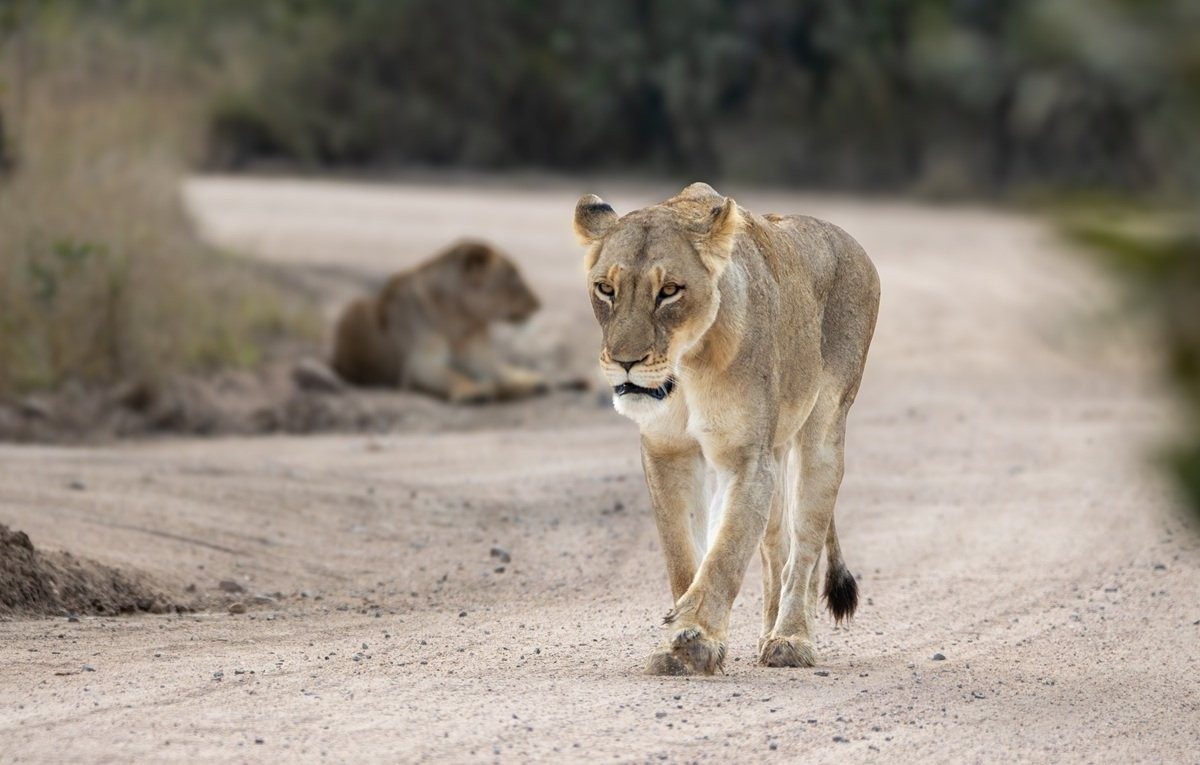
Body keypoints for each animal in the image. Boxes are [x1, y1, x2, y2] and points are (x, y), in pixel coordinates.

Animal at [331, 240, 546, 402]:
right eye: (514, 277)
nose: (539, 304)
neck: (460, 319)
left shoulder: (478, 353)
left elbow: (499, 370)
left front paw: (527, 381)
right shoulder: (419, 364)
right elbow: (450, 375)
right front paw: (472, 391)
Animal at [573, 183, 880, 675]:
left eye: (669, 291)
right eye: (606, 289)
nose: (625, 362)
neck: (686, 370)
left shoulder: (745, 458)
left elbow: (725, 553)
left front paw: (695, 639)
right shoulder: (667, 451)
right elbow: (685, 554)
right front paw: (679, 641)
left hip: (825, 431)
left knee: (804, 547)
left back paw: (791, 639)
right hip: (776, 450)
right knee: (776, 546)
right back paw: (768, 632)